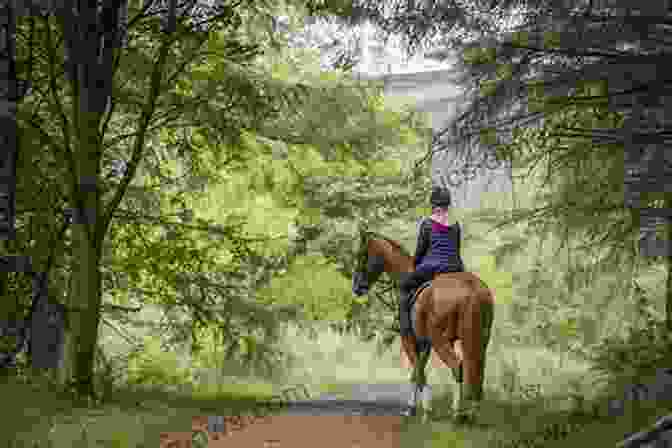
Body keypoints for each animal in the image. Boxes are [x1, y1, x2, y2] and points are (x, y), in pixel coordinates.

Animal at [352, 226, 494, 422]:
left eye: (362, 255)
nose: (357, 287)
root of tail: (471, 288)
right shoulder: (425, 343)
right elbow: (417, 370)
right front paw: (417, 408)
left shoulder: (409, 339)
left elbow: (417, 372)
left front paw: (422, 410)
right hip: (480, 339)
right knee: (478, 369)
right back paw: (473, 413)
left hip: (439, 340)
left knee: (457, 366)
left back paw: (457, 413)